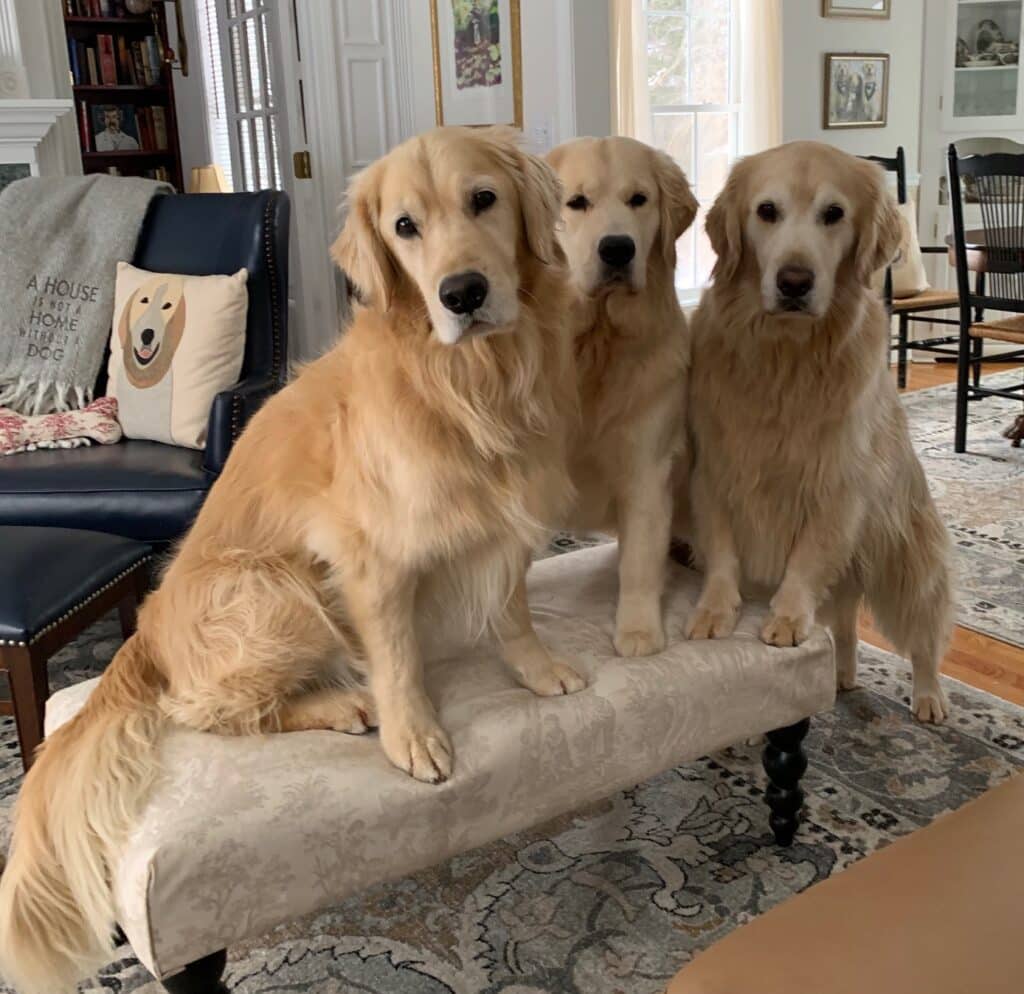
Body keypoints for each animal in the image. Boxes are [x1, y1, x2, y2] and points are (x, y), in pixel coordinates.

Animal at [0, 128, 589, 994]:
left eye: (484, 199)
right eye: (405, 227)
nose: (463, 294)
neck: (470, 381)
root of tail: (144, 634)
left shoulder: (504, 525)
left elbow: (512, 610)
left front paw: (540, 670)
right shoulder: (370, 557)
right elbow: (399, 656)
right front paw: (415, 735)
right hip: (274, 591)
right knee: (207, 710)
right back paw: (343, 705)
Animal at [548, 136, 700, 655]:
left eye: (639, 199)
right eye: (576, 202)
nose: (617, 249)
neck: (597, 343)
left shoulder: (646, 468)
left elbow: (639, 562)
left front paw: (637, 631)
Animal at [684, 142, 954, 724]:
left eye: (834, 214)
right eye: (766, 211)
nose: (793, 282)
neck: (786, 355)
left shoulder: (836, 487)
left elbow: (805, 560)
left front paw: (787, 617)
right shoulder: (714, 469)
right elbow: (721, 550)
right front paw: (715, 608)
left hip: (907, 561)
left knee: (924, 636)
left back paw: (929, 697)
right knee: (847, 624)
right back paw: (840, 674)